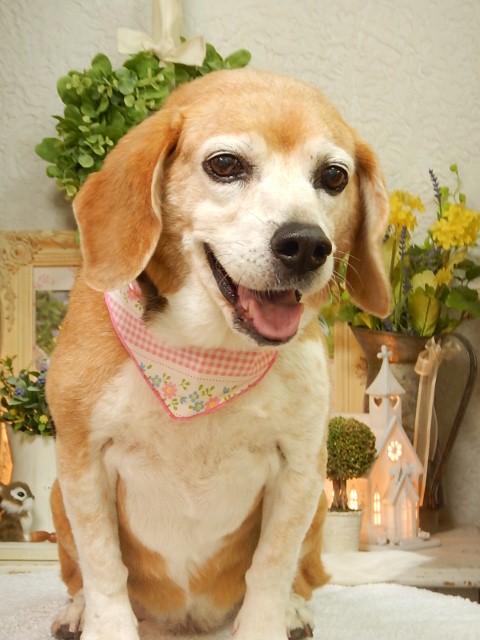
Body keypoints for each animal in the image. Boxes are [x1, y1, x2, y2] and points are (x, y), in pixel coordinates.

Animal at [47, 68, 390, 640]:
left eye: (334, 176)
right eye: (225, 165)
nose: (306, 245)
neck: (204, 354)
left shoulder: (300, 470)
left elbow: (271, 568)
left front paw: (268, 620)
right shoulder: (81, 461)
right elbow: (103, 569)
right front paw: (104, 623)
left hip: (321, 501)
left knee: (301, 575)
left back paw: (295, 610)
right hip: (55, 494)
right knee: (78, 575)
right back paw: (75, 610)